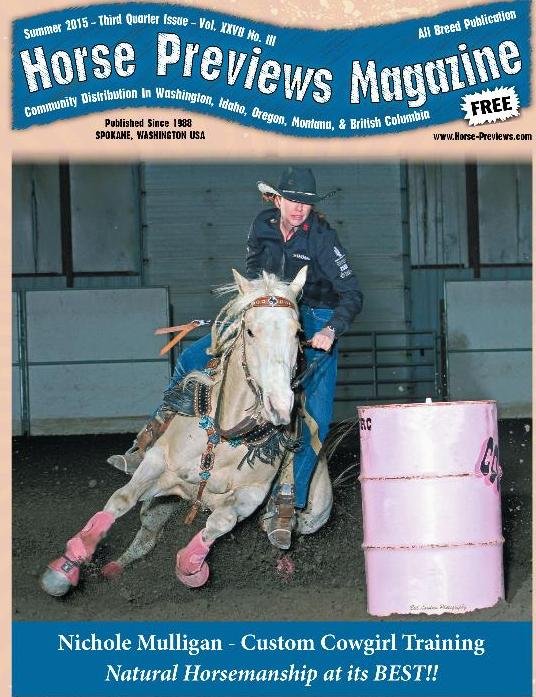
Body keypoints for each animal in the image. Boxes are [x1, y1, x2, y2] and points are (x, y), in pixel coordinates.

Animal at [40, 268, 333, 596]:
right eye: (250, 331)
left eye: (297, 332)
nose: (280, 406)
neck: (225, 437)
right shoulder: (158, 462)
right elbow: (121, 499)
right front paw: (66, 567)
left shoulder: (251, 495)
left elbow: (220, 522)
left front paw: (191, 567)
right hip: (160, 501)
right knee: (146, 533)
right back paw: (114, 568)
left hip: (310, 517)